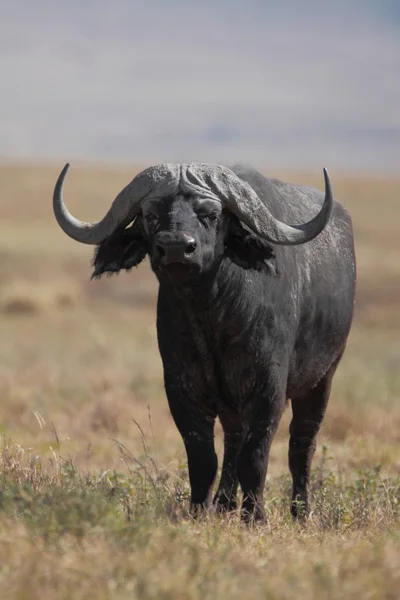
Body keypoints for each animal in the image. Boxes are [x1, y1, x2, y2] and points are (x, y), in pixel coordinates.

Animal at [53, 163, 356, 520]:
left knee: (301, 442)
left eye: (210, 214)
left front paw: (255, 517)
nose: (175, 247)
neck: (212, 317)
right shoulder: (182, 388)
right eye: (151, 215)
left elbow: (255, 456)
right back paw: (225, 504)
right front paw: (199, 511)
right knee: (233, 440)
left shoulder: (268, 389)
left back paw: (300, 511)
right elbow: (203, 458)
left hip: (322, 379)